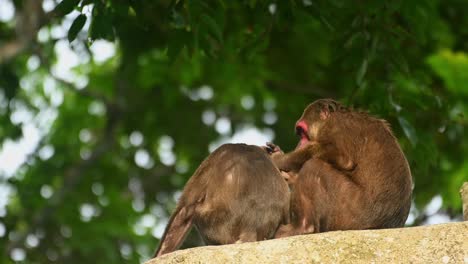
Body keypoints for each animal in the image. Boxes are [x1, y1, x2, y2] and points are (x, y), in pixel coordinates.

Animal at [266, 98, 414, 237]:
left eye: (302, 132)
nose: (299, 144)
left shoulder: (339, 125)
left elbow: (342, 157)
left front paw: (279, 160)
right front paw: (290, 175)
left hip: (351, 215)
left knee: (314, 166)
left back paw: (303, 227)